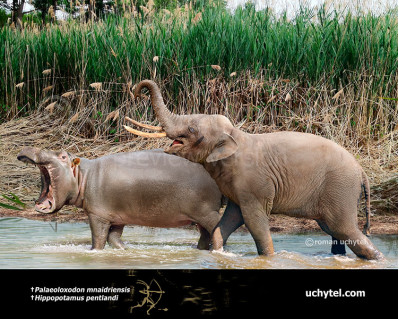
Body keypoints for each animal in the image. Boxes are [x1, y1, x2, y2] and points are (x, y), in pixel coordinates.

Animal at [124, 79, 384, 262]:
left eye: (191, 129)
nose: (135, 92)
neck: (236, 136)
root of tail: (361, 171)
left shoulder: (253, 185)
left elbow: (253, 220)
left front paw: (268, 258)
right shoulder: (236, 188)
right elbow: (230, 219)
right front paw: (218, 253)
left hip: (341, 189)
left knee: (344, 230)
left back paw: (378, 259)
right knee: (334, 232)